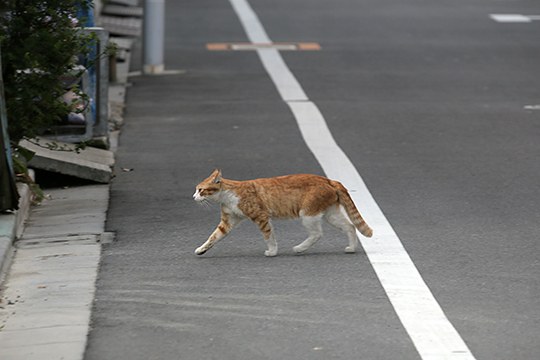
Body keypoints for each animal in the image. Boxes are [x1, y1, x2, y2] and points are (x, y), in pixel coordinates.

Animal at [192, 169, 374, 256]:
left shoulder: (261, 217)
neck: (227, 196)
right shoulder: (228, 221)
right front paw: (201, 249)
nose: (193, 197)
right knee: (350, 226)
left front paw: (272, 251)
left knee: (317, 234)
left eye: (201, 190)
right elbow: (213, 237)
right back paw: (351, 247)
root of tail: (329, 179)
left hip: (307, 214)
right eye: (196, 190)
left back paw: (300, 248)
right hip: (330, 214)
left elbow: (268, 236)